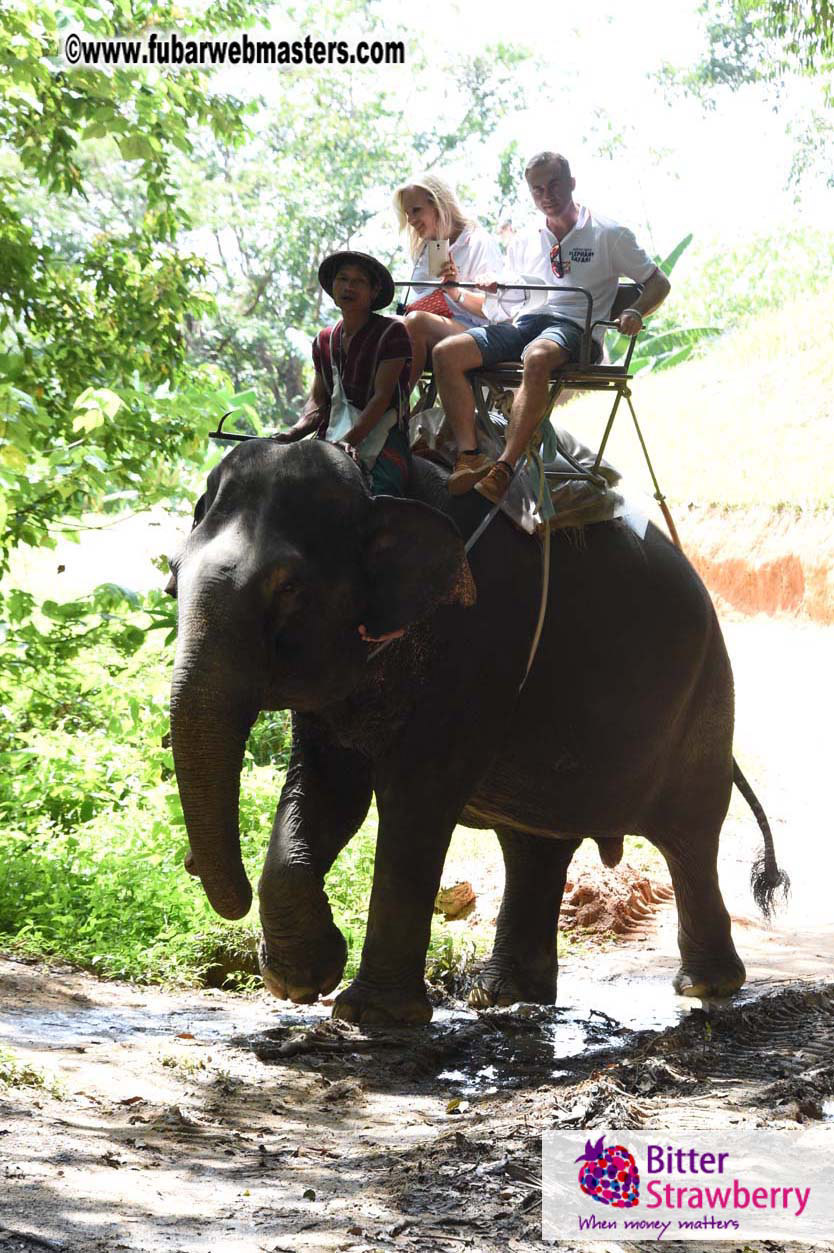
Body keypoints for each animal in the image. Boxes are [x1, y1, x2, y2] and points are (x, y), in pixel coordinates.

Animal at [167, 437, 787, 1026]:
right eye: (173, 580)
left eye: (288, 587)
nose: (190, 864)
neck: (375, 485)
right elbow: (328, 791)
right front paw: (303, 980)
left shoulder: (479, 643)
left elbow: (415, 801)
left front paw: (372, 1014)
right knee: (534, 844)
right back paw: (505, 995)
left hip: (706, 700)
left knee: (691, 834)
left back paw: (706, 986)